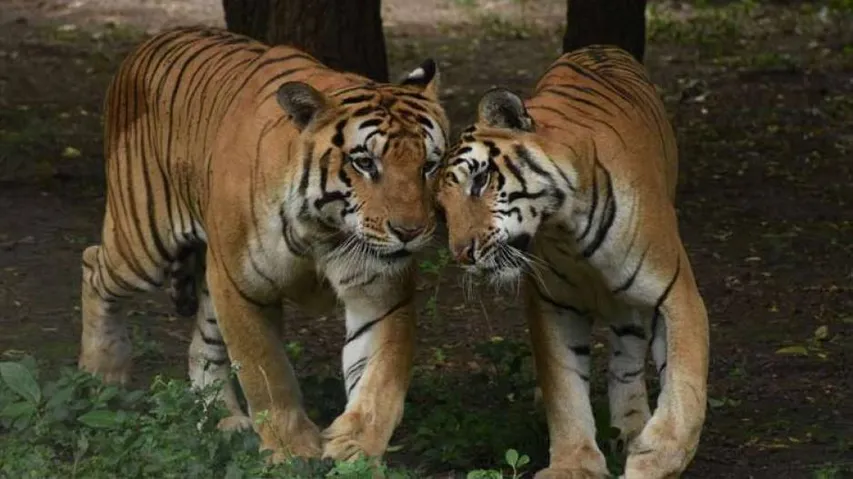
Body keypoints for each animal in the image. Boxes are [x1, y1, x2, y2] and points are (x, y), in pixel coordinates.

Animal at [78, 26, 448, 462]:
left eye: (429, 165)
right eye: (365, 163)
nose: (410, 231)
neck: (324, 229)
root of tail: (151, 40)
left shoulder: (381, 292)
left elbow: (381, 376)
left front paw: (354, 446)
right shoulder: (242, 286)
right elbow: (265, 371)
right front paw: (293, 450)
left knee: (202, 347)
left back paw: (223, 421)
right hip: (144, 242)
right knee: (93, 265)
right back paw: (101, 374)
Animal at [435, 45, 709, 478]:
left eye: (479, 181)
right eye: (441, 209)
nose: (463, 254)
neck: (566, 228)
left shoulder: (675, 291)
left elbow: (685, 384)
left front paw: (655, 458)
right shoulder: (553, 305)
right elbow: (564, 388)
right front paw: (574, 464)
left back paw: (632, 429)